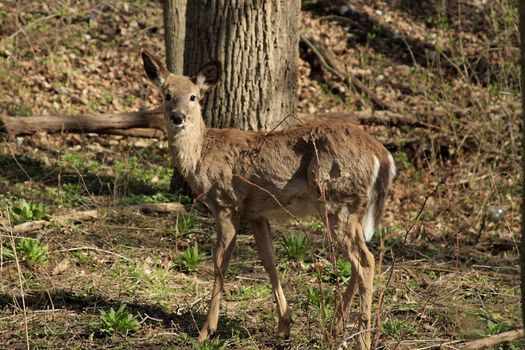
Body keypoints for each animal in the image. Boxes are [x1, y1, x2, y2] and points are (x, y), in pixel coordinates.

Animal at [141, 50, 396, 350]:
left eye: (194, 96)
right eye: (167, 94)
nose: (178, 117)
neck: (201, 155)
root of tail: (382, 155)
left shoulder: (227, 203)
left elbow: (219, 263)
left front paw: (206, 330)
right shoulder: (256, 213)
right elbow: (268, 260)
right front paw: (285, 325)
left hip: (339, 200)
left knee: (365, 262)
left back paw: (361, 339)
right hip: (348, 209)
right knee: (360, 261)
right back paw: (334, 328)